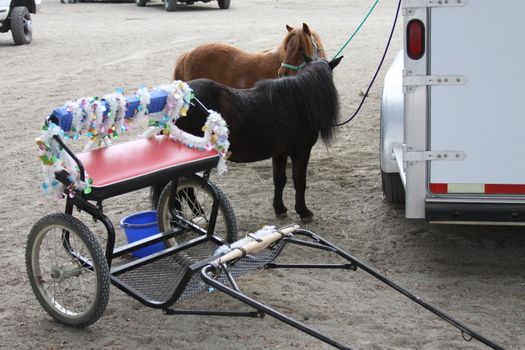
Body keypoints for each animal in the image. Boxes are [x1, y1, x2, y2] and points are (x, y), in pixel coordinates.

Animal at [158, 57, 342, 221]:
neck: (296, 102)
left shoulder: (280, 154)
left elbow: (279, 180)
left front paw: (280, 208)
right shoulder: (301, 152)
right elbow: (299, 182)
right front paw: (303, 212)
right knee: (184, 190)